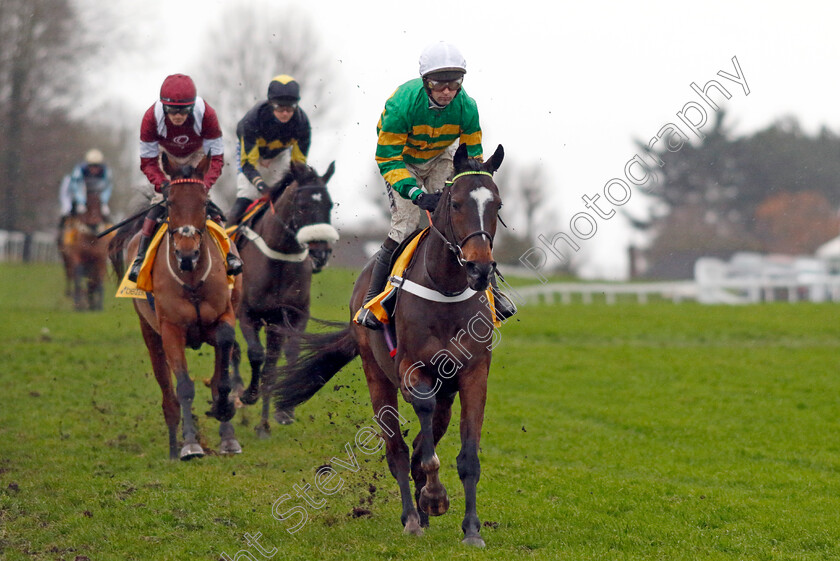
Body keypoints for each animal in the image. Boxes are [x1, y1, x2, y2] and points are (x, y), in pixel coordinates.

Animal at [108, 154, 243, 460]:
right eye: (170, 203)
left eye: (204, 202)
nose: (187, 253)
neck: (191, 279)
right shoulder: (170, 329)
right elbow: (183, 386)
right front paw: (190, 444)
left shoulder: (224, 316)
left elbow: (221, 373)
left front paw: (225, 417)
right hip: (150, 333)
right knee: (167, 391)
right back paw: (173, 446)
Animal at [231, 160, 340, 436]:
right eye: (302, 205)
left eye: (329, 205)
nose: (321, 254)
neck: (278, 260)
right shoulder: (247, 314)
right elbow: (256, 354)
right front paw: (249, 395)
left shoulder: (292, 316)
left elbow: (287, 355)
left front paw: (283, 412)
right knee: (233, 350)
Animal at [272, 142, 506, 544]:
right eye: (456, 203)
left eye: (498, 205)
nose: (480, 269)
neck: (446, 289)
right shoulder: (412, 370)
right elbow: (420, 431)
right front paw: (435, 496)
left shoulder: (474, 374)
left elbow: (467, 456)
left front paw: (472, 528)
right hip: (376, 375)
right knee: (396, 448)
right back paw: (413, 516)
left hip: (446, 392)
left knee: (423, 440)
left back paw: (423, 512)